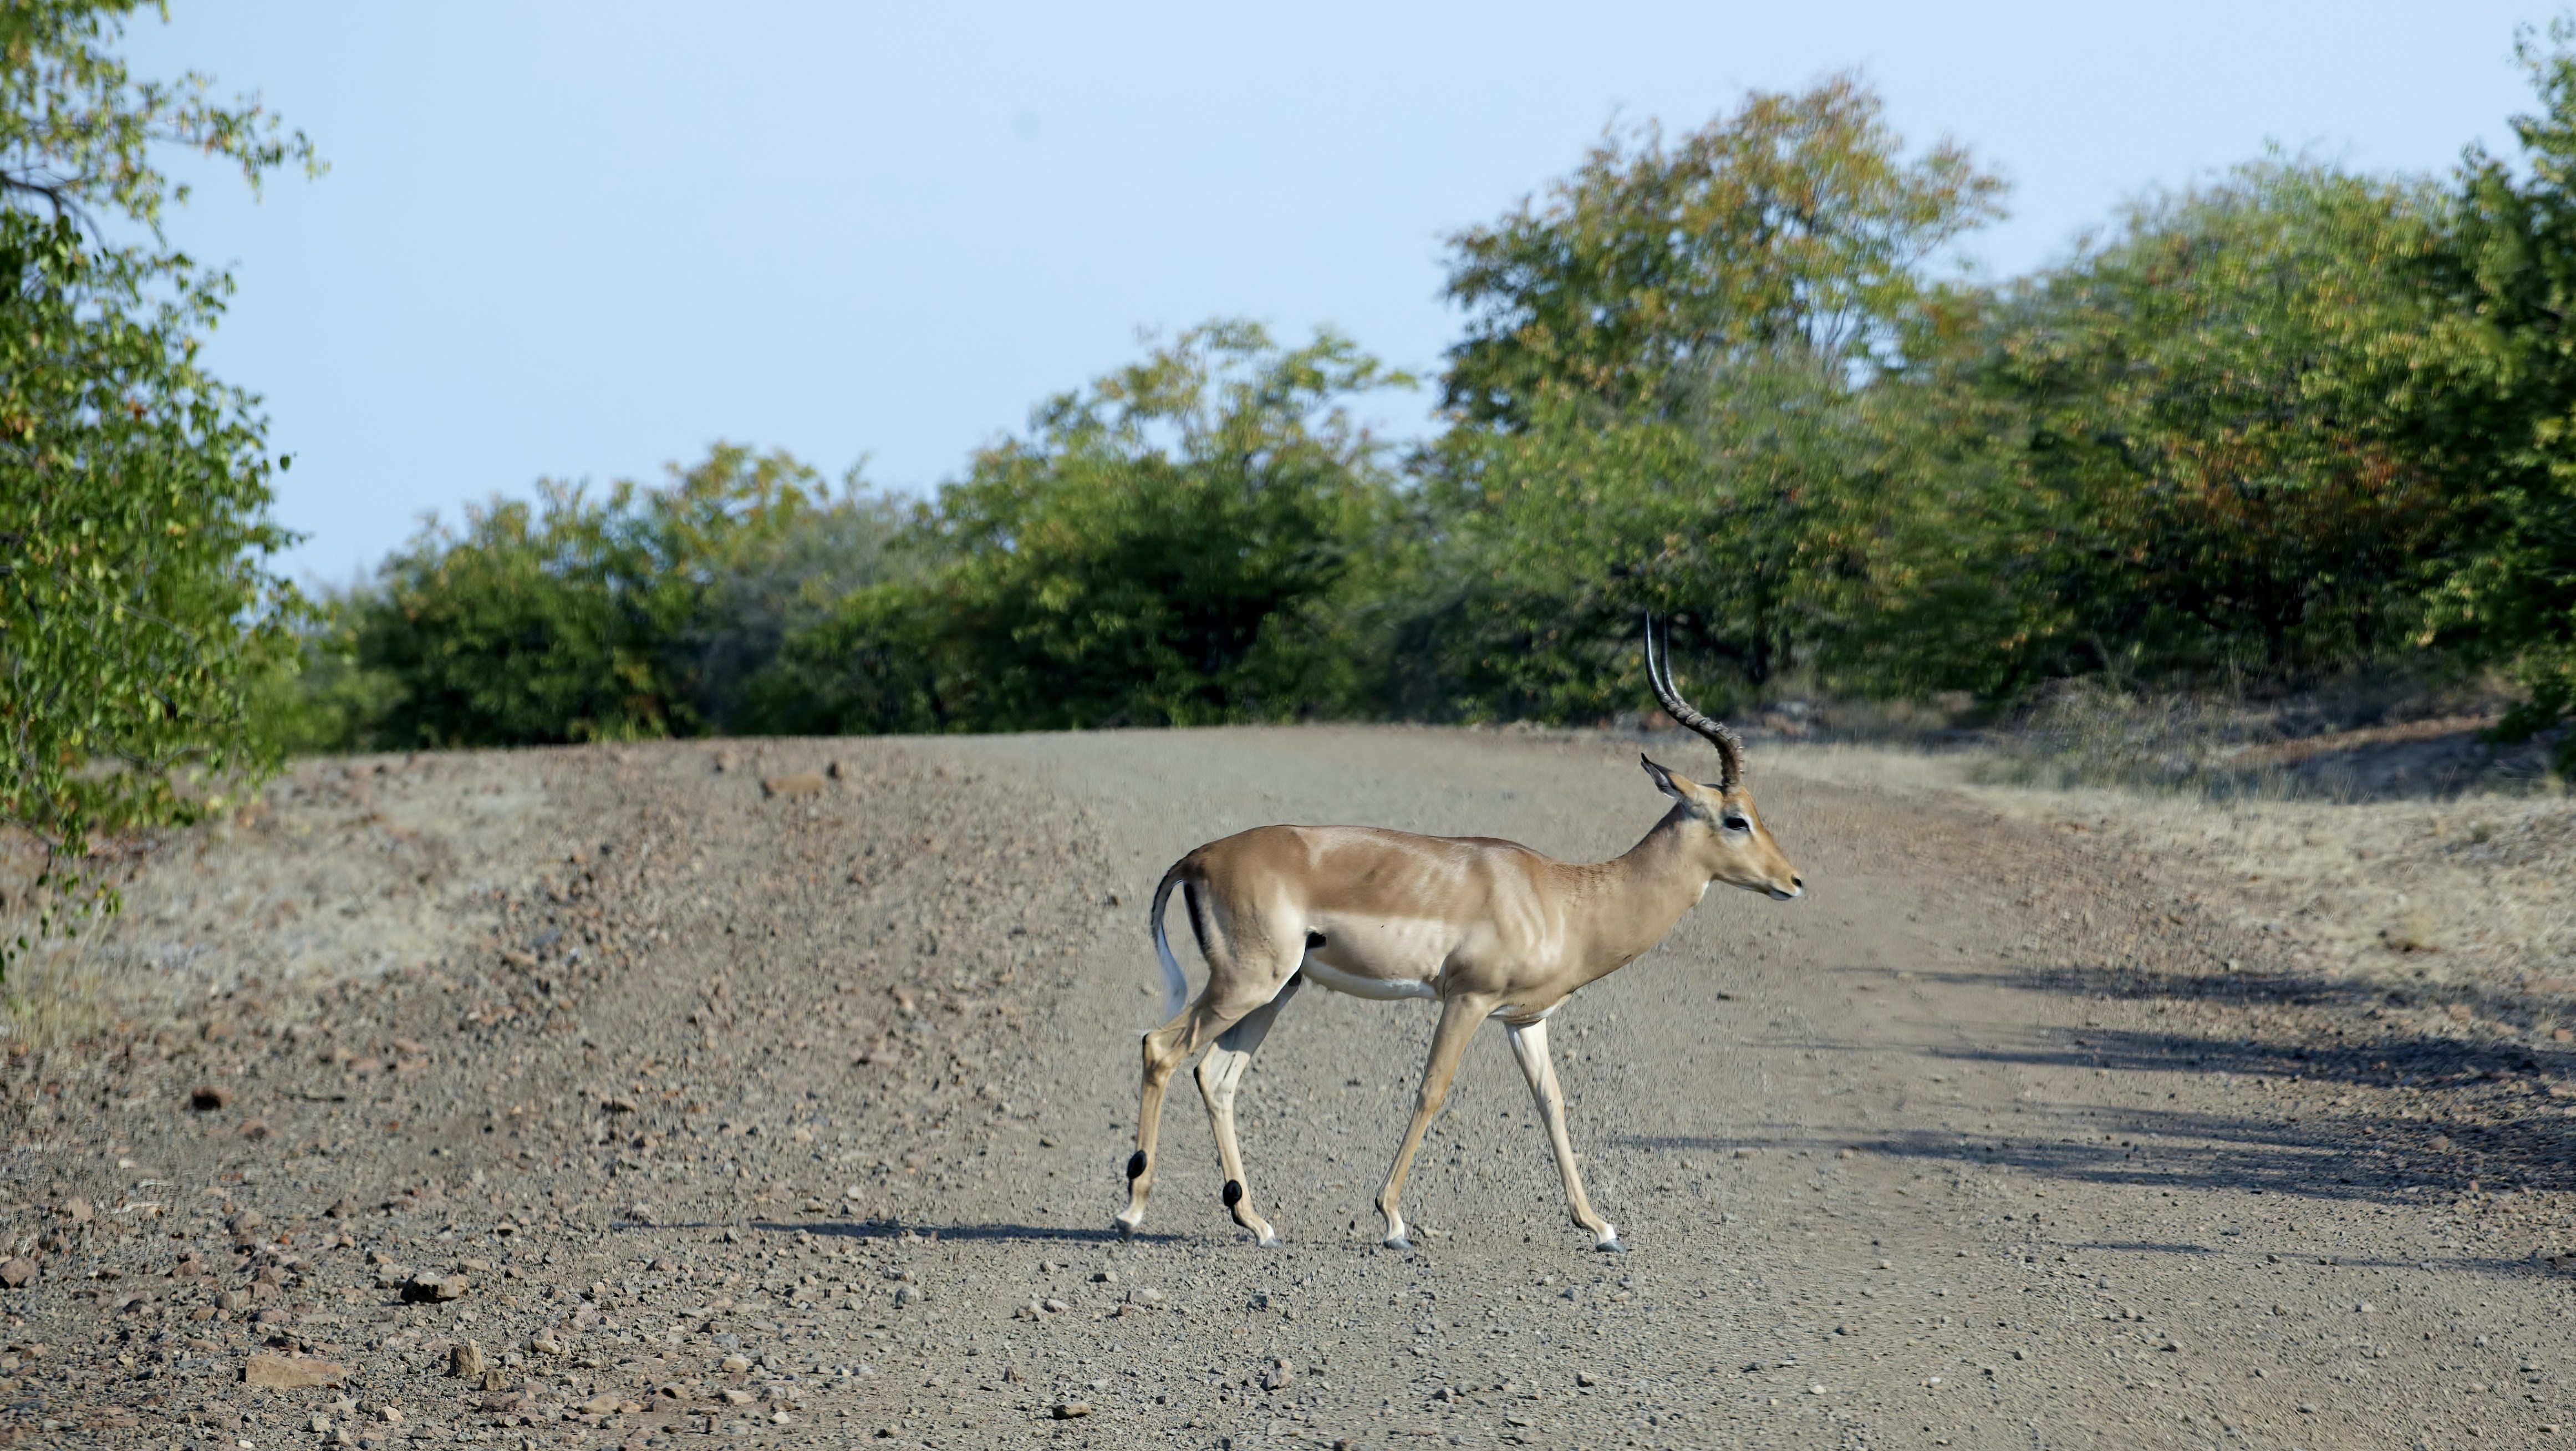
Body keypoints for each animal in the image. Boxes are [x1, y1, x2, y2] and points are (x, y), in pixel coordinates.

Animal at [1114, 616, 1803, 1252]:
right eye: (1735, 819)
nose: (1793, 880)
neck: (1562, 896)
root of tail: (1198, 857)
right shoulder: (1466, 1000)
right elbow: (1430, 1091)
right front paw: (1392, 1220)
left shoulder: (1525, 1019)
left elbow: (1551, 1103)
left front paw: (1598, 1225)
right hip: (1245, 984)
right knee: (1160, 1047)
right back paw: (1132, 1210)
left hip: (1277, 990)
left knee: (1216, 1076)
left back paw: (1254, 1221)